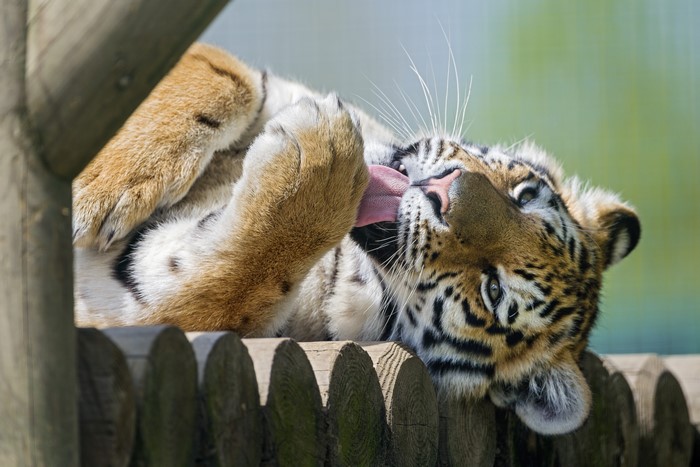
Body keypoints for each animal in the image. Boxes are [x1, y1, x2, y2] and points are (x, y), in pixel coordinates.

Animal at [73, 43, 640, 435]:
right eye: (525, 197)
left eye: (493, 290)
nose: (448, 192)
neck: (342, 268)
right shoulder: (258, 88)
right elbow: (225, 78)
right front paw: (104, 186)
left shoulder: (144, 307)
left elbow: (228, 284)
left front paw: (321, 156)